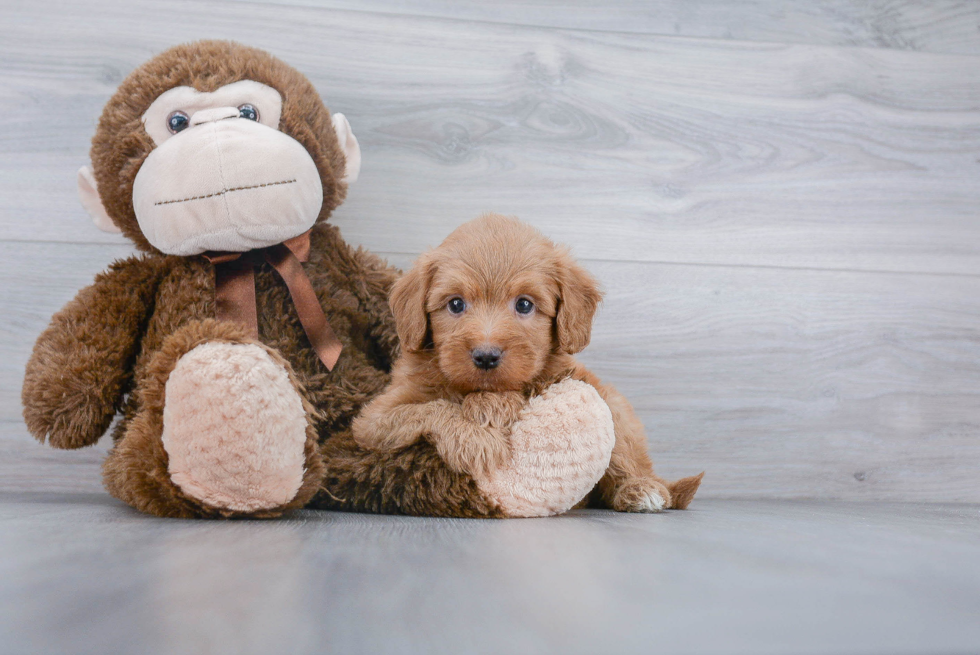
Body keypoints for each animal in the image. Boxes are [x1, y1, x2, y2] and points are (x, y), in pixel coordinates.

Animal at [354, 215, 704, 512]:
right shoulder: (373, 421)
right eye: (455, 304)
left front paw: (494, 404)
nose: (485, 355)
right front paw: (479, 438)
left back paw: (641, 489)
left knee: (627, 460)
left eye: (524, 304)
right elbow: (429, 408)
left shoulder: (561, 375)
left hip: (614, 407)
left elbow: (527, 385)